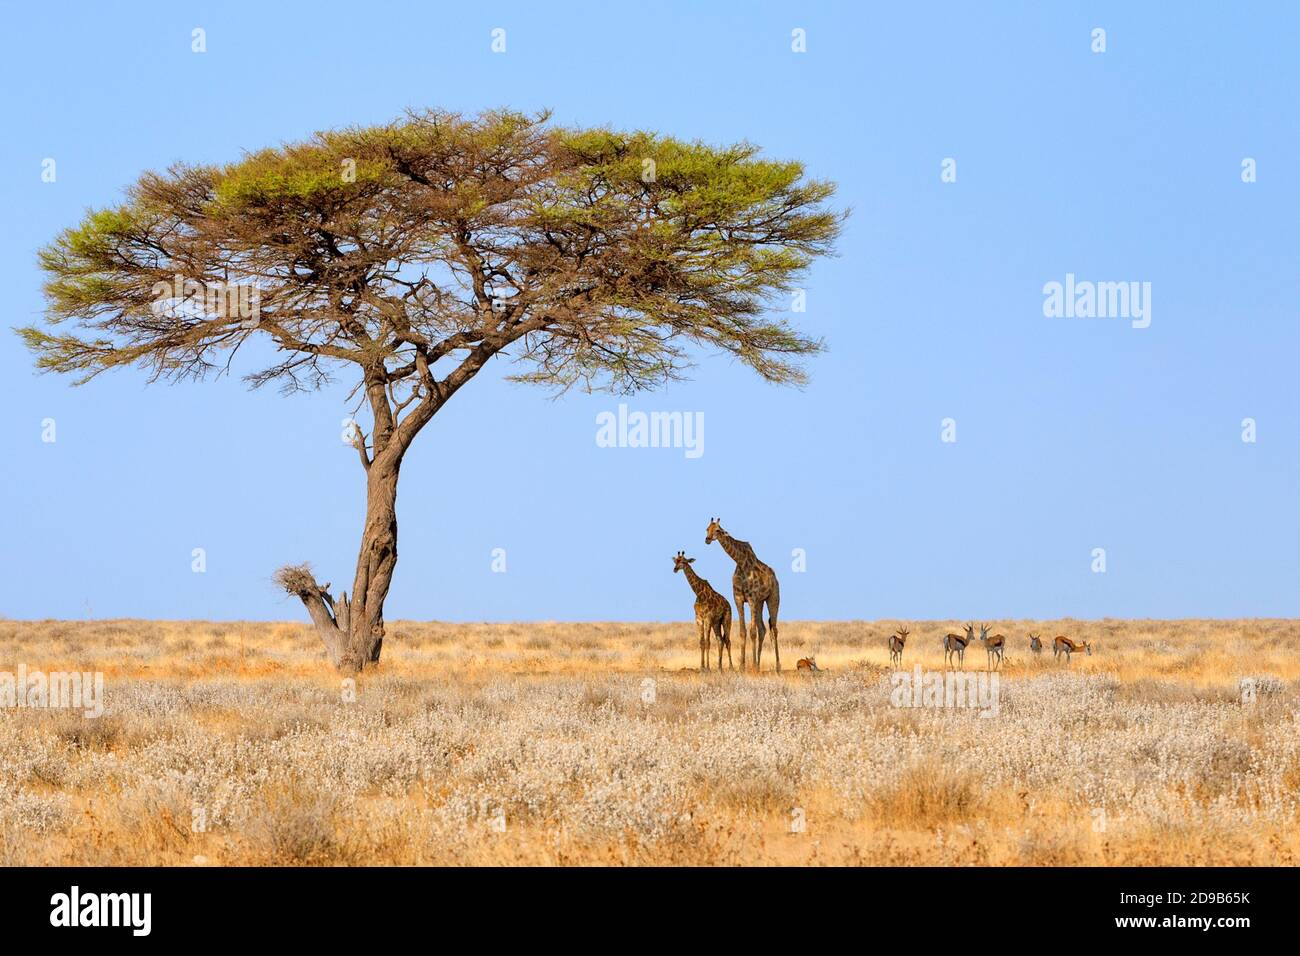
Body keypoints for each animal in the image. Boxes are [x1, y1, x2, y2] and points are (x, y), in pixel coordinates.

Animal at [707, 520, 774, 671]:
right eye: (707, 529)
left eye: (718, 530)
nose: (707, 539)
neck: (741, 562)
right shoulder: (738, 599)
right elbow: (743, 631)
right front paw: (742, 666)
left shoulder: (752, 599)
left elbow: (752, 632)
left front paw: (752, 665)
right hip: (760, 603)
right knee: (763, 629)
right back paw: (759, 665)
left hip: (772, 598)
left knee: (773, 628)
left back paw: (775, 666)